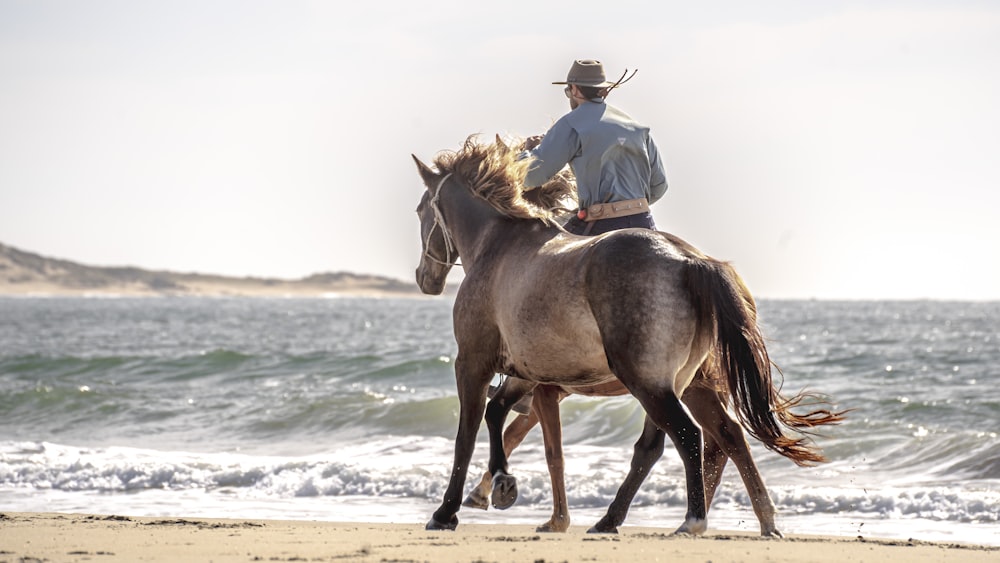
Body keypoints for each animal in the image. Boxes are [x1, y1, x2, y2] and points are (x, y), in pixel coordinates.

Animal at [414, 135, 844, 532]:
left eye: (420, 210)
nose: (424, 278)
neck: (498, 246)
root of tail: (693, 261)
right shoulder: (527, 375)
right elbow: (504, 419)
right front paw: (505, 486)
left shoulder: (473, 362)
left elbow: (470, 435)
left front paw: (448, 511)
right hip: (678, 384)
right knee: (704, 439)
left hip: (649, 383)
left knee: (687, 437)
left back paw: (691, 519)